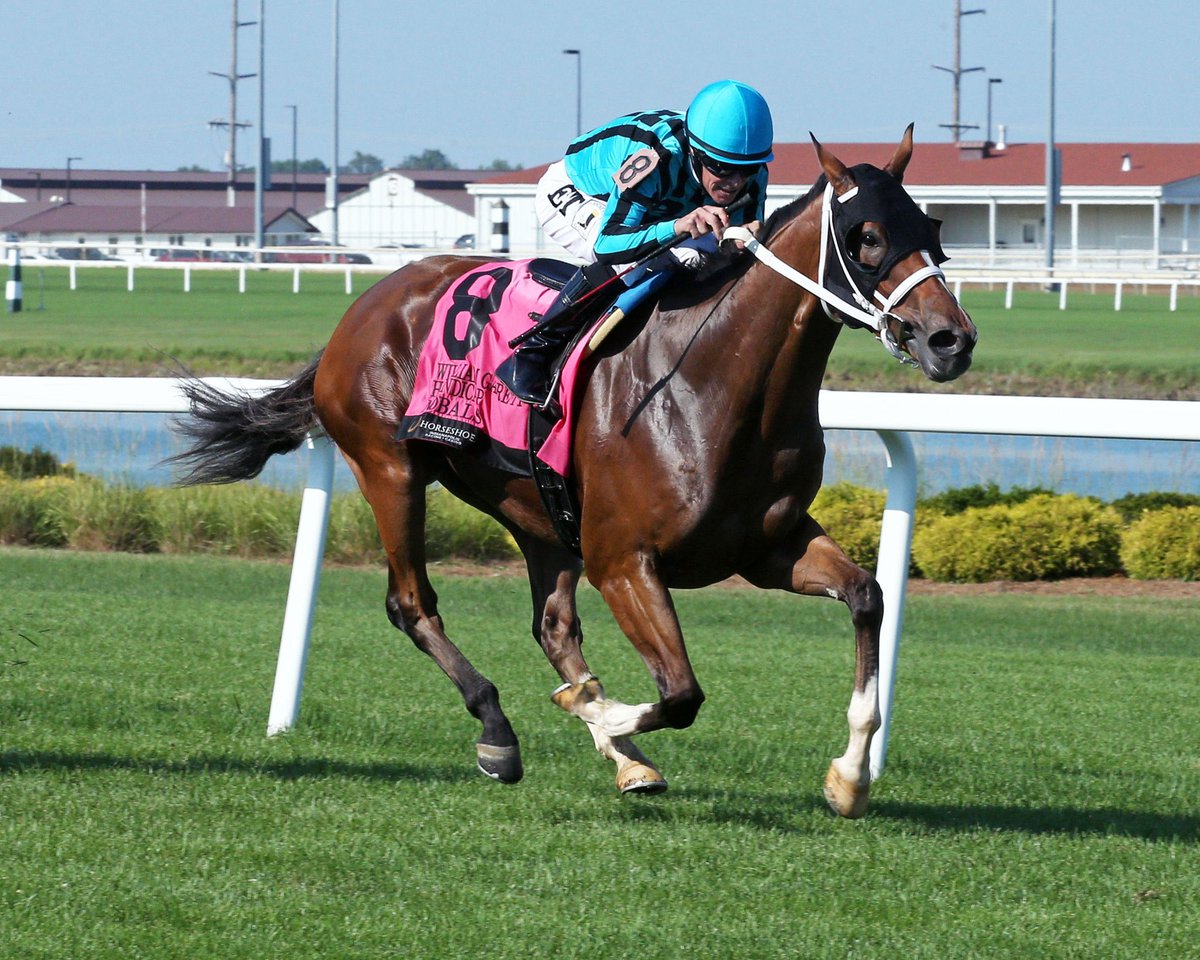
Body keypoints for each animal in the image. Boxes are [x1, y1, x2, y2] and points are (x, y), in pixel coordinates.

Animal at [171, 127, 974, 816]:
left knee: (552, 625)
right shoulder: (626, 560)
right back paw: (501, 733)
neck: (717, 384)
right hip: (388, 467)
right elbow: (681, 693)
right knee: (413, 604)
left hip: (539, 513)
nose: (951, 341)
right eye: (868, 238)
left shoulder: (767, 545)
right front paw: (597, 711)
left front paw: (849, 779)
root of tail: (364, 306)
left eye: (933, 230)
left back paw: (619, 755)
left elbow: (868, 596)